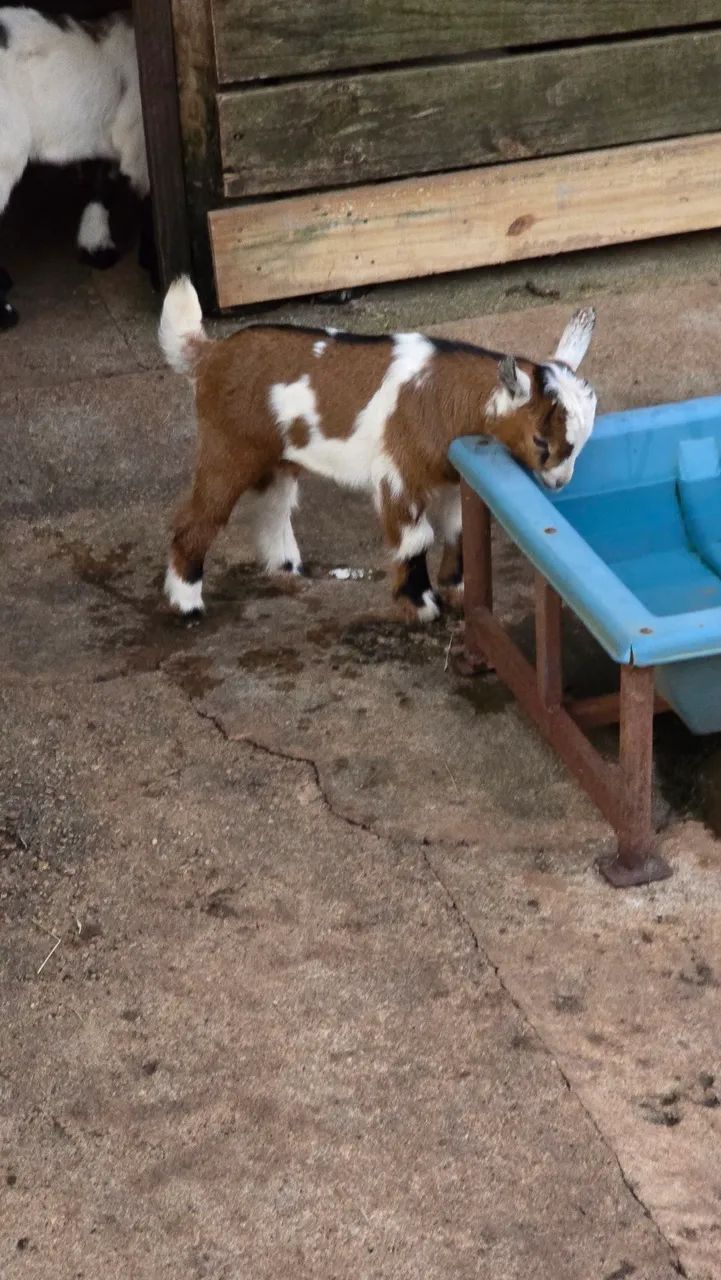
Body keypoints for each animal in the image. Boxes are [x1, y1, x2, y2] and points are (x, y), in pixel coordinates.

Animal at [159, 277, 597, 623]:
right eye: (541, 440)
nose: (559, 482)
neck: (442, 396)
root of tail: (211, 354)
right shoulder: (398, 474)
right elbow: (416, 538)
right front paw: (420, 605)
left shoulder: (453, 476)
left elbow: (457, 529)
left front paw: (457, 589)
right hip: (227, 447)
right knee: (200, 518)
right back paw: (187, 605)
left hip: (279, 455)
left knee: (275, 504)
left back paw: (287, 567)